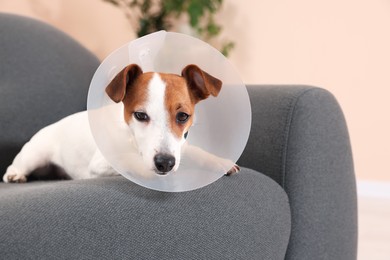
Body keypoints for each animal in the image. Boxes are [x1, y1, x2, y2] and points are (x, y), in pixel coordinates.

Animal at [3, 64, 239, 184]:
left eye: (182, 116)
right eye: (140, 115)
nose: (165, 163)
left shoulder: (180, 148)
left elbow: (197, 152)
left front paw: (220, 162)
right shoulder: (102, 163)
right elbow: (131, 163)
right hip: (34, 155)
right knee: (14, 167)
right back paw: (15, 174)